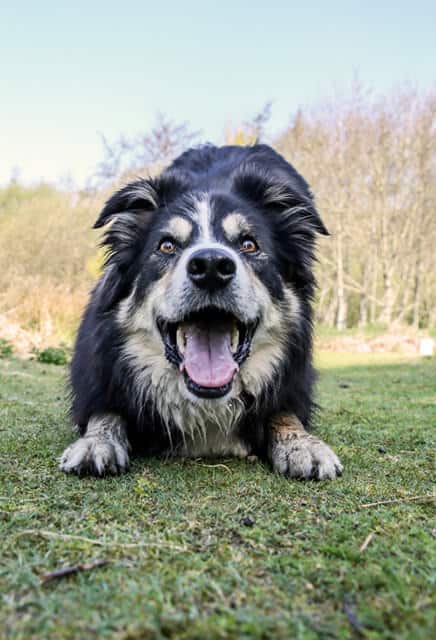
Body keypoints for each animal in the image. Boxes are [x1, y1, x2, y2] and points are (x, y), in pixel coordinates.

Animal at [59, 142, 342, 478]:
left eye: (249, 244)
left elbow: (285, 414)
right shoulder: (99, 376)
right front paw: (96, 442)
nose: (211, 267)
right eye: (166, 246)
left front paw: (302, 444)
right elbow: (105, 413)